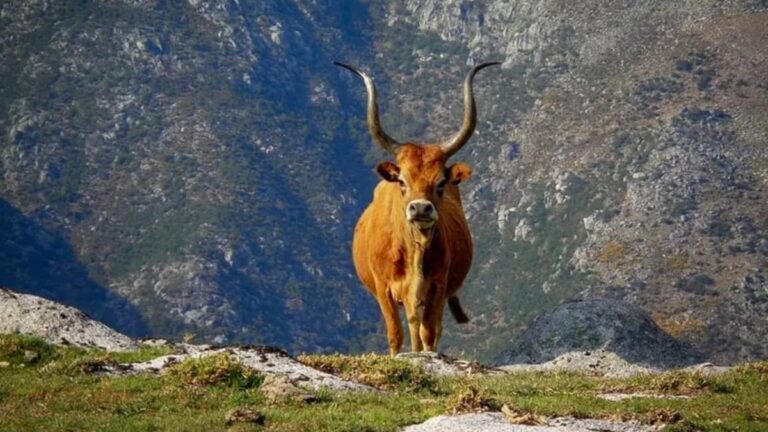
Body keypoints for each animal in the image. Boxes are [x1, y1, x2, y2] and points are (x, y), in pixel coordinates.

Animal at [335, 61, 499, 355]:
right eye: (402, 181)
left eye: (441, 182)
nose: (421, 208)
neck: (414, 250)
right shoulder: (384, 289)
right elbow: (395, 334)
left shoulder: (437, 287)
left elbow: (429, 333)